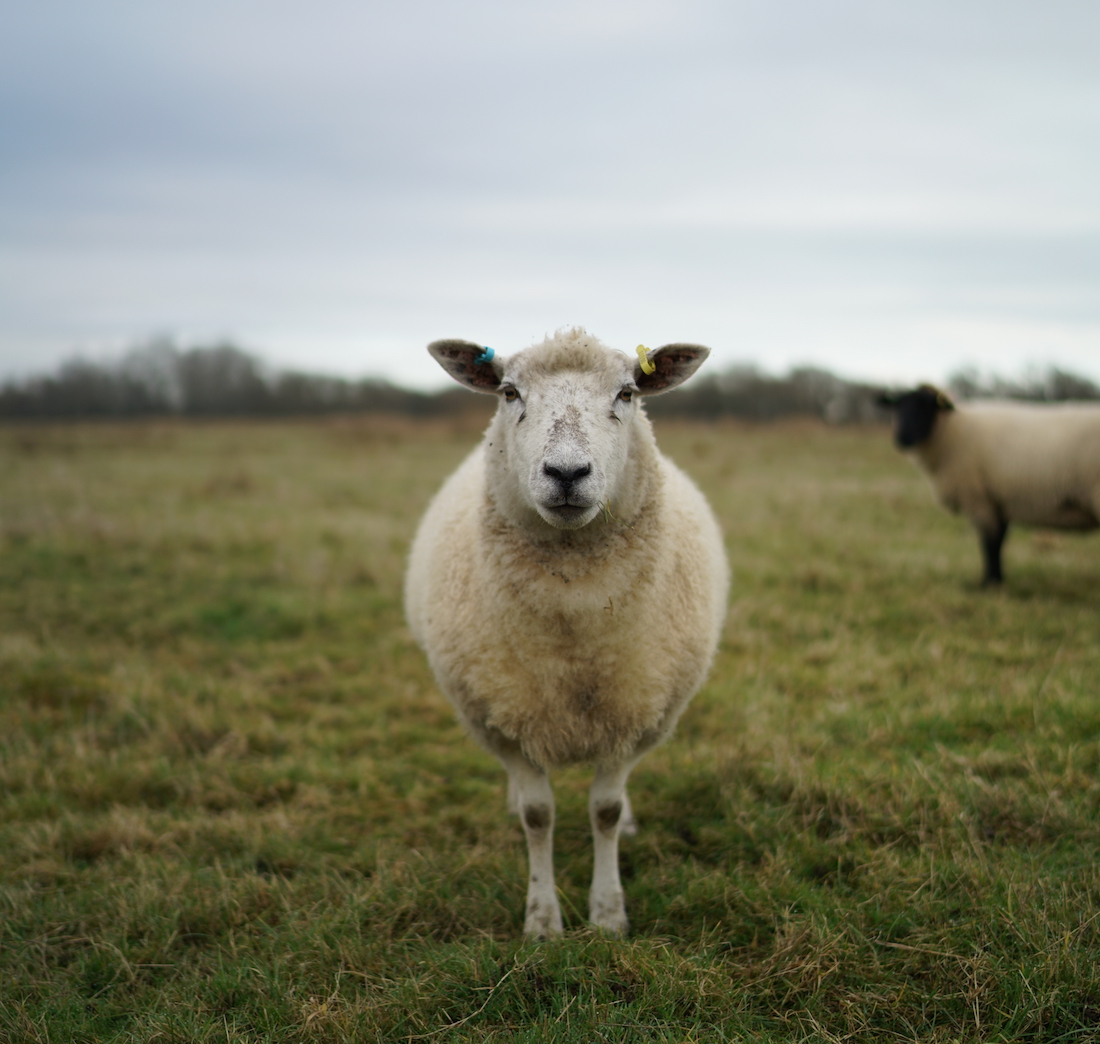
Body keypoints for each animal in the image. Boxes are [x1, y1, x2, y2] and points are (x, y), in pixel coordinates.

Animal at [404, 327, 730, 937]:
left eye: (627, 393)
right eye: (509, 392)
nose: (567, 474)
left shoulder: (632, 714)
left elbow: (604, 810)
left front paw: (607, 914)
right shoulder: (504, 720)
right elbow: (539, 816)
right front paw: (543, 921)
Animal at [875, 382, 1100, 580]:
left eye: (926, 407)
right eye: (898, 406)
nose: (902, 437)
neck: (951, 430)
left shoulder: (979, 498)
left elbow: (990, 544)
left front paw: (989, 583)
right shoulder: (999, 500)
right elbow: (999, 541)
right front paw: (997, 580)